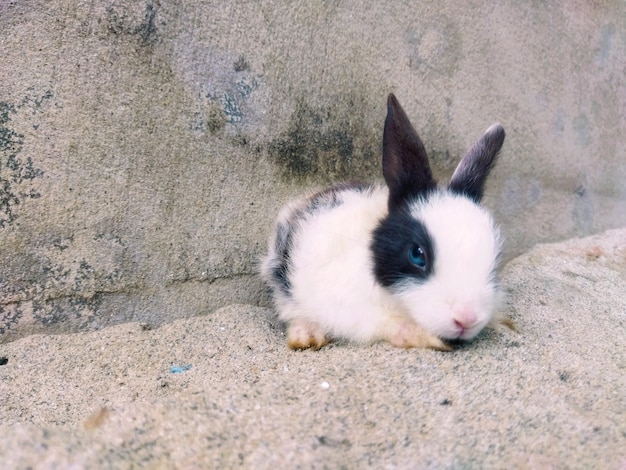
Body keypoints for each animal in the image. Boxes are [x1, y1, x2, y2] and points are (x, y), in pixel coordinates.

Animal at [260, 92, 510, 348]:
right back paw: (305, 336)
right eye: (417, 254)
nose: (467, 318)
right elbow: (386, 324)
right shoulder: (352, 310)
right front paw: (422, 336)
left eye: (495, 260)